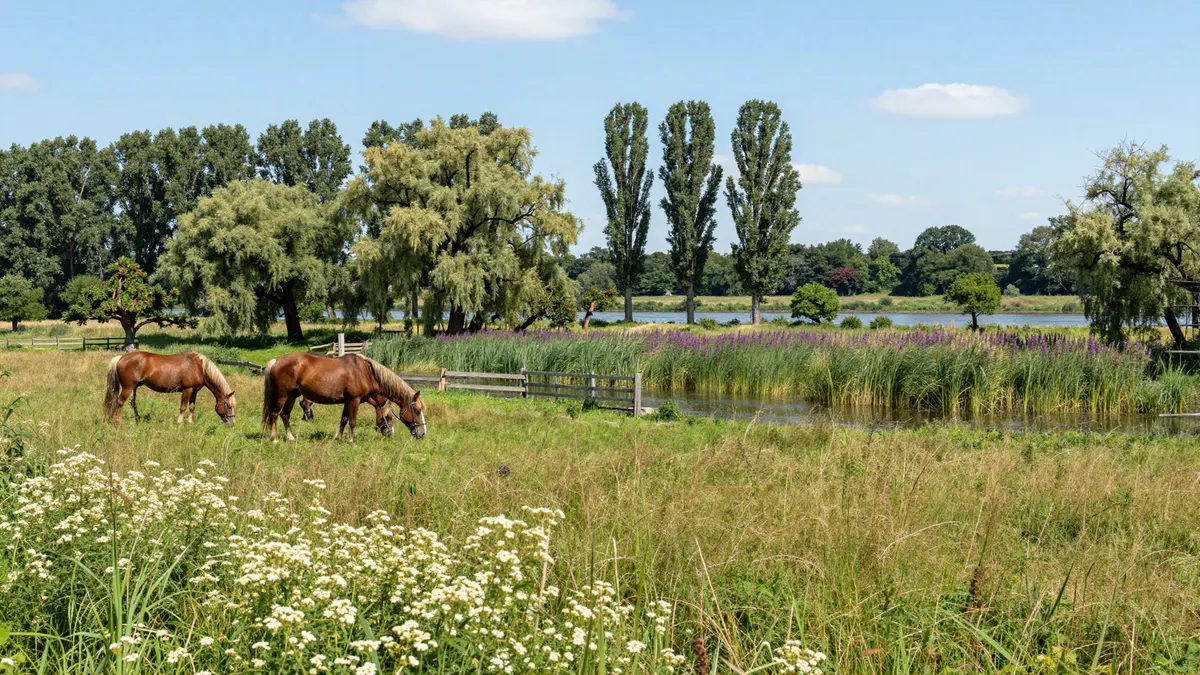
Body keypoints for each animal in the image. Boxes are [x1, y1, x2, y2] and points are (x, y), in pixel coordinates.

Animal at [104, 351, 237, 425]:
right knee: (120, 402)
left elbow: (192, 407)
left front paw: (190, 423)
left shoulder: (194, 391)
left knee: (131, 403)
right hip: (128, 388)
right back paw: (118, 421)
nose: (233, 423)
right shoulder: (187, 389)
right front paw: (179, 423)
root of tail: (121, 357)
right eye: (229, 406)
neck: (199, 367)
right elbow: (183, 407)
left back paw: (136, 418)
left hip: (134, 387)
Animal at [262, 353, 425, 443]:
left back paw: (290, 438)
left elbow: (344, 420)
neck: (366, 372)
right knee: (274, 415)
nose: (422, 433)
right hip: (281, 396)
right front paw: (351, 441)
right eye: (417, 411)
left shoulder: (348, 402)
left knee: (285, 415)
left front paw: (338, 438)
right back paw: (275, 439)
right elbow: (352, 422)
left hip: (292, 396)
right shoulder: (354, 400)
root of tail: (276, 361)